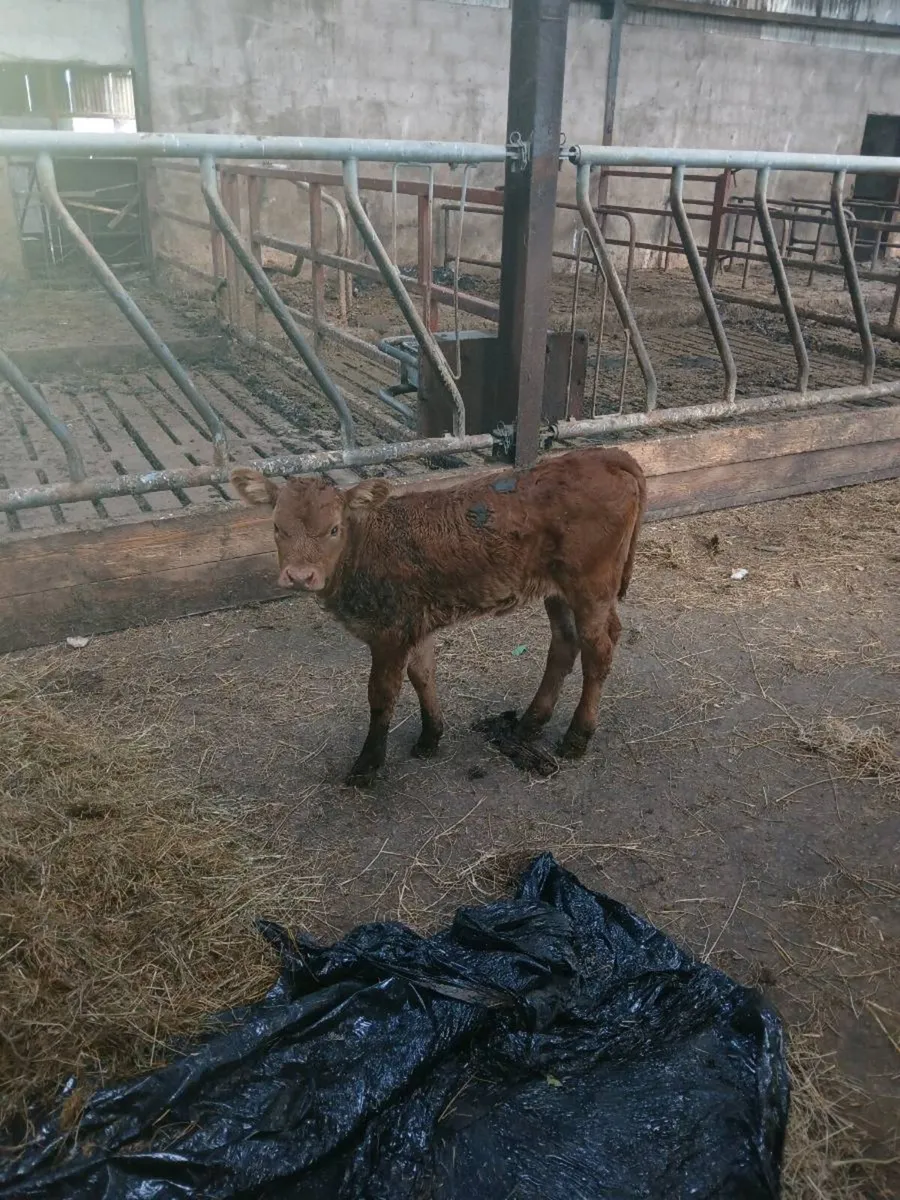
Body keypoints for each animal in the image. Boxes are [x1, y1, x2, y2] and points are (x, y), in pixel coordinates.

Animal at [232, 447, 646, 786]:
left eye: (333, 529)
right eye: (276, 528)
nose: (300, 576)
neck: (367, 545)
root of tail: (604, 455)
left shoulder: (389, 631)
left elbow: (382, 694)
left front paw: (367, 765)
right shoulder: (415, 621)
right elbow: (423, 674)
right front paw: (430, 736)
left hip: (591, 585)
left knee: (598, 650)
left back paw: (577, 736)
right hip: (557, 589)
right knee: (565, 643)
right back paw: (530, 722)